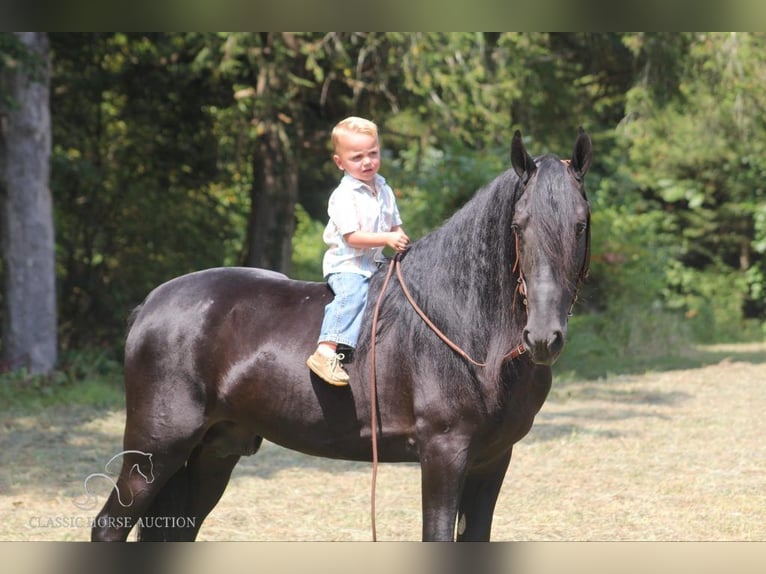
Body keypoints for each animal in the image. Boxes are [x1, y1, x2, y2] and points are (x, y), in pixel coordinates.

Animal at [90, 128, 592, 544]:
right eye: (518, 227)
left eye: (581, 224)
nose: (543, 336)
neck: (465, 327)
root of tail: (149, 306)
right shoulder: (444, 454)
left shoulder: (493, 459)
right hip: (154, 451)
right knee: (108, 528)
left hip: (215, 450)